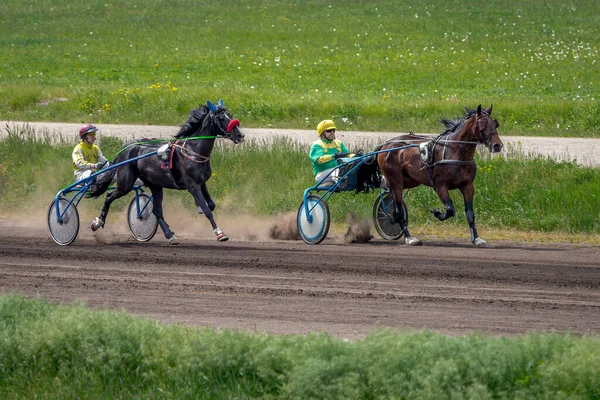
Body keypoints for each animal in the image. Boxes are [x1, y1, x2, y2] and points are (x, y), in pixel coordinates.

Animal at [89, 100, 244, 244]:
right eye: (222, 118)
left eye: (230, 116)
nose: (240, 135)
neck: (193, 150)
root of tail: (125, 148)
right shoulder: (192, 186)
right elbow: (207, 210)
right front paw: (219, 233)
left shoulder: (202, 183)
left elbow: (211, 205)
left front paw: (199, 207)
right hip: (125, 184)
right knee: (109, 196)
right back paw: (97, 222)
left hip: (155, 185)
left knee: (156, 211)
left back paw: (170, 235)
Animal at [378, 104, 504, 245]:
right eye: (482, 125)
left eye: (495, 124)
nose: (497, 145)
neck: (454, 152)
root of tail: (386, 145)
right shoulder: (440, 186)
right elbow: (450, 210)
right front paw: (437, 213)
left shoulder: (467, 185)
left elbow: (470, 213)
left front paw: (476, 238)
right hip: (395, 180)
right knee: (399, 211)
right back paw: (409, 237)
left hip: (410, 180)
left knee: (394, 205)